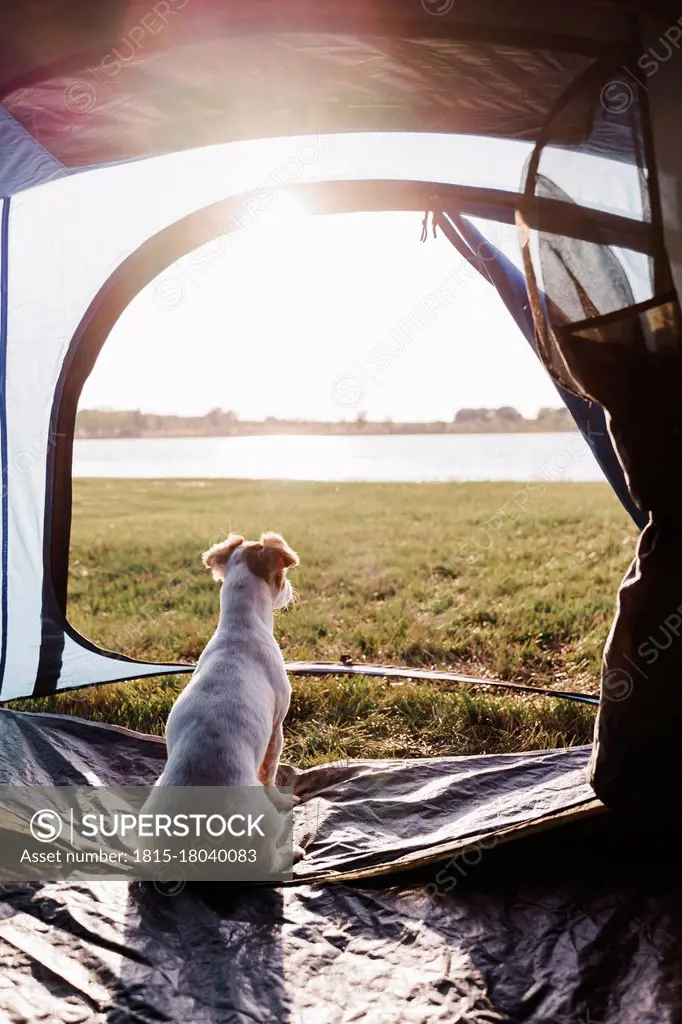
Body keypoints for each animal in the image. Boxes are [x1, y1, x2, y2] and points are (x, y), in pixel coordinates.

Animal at [140, 532, 303, 876]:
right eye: (283, 576)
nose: (291, 591)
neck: (240, 626)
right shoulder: (277, 729)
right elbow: (270, 773)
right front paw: (284, 798)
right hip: (265, 823)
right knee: (266, 865)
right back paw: (291, 852)